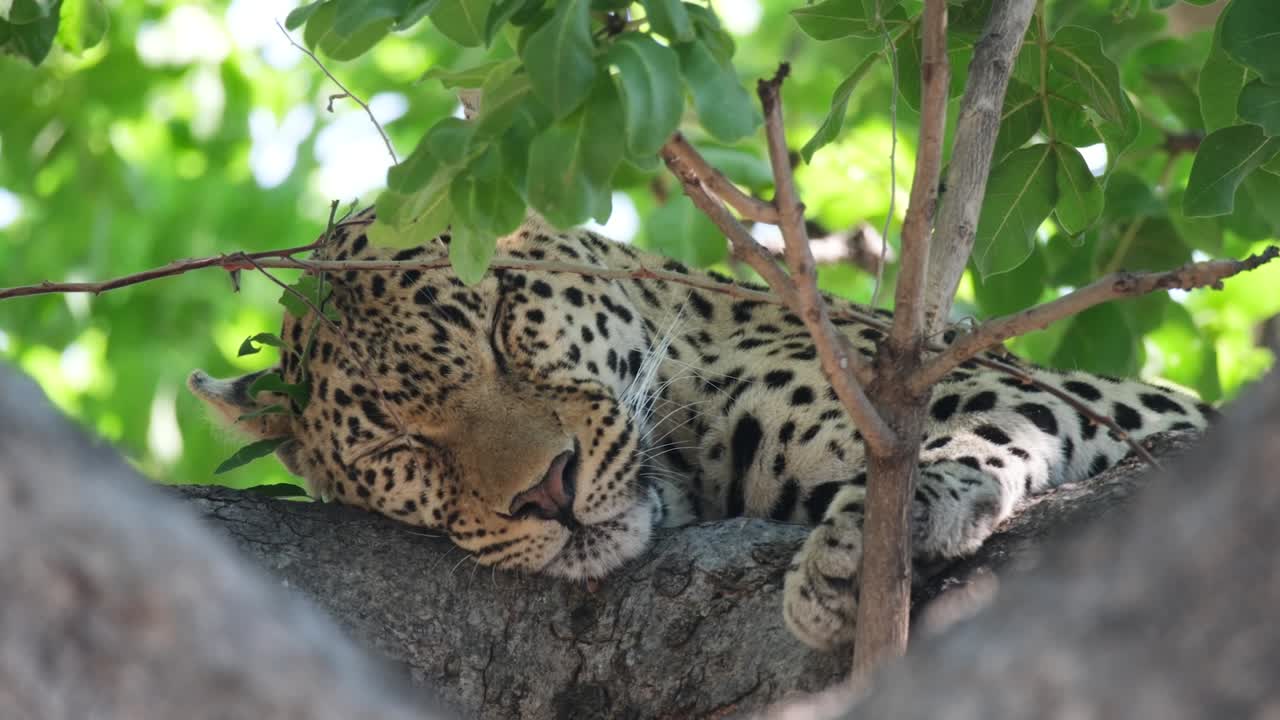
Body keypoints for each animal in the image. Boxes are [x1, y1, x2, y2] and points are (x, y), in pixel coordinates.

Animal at [189, 207, 1214, 650]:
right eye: (399, 446)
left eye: (501, 326)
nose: (548, 492)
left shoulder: (1034, 392)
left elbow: (966, 431)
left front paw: (855, 554)